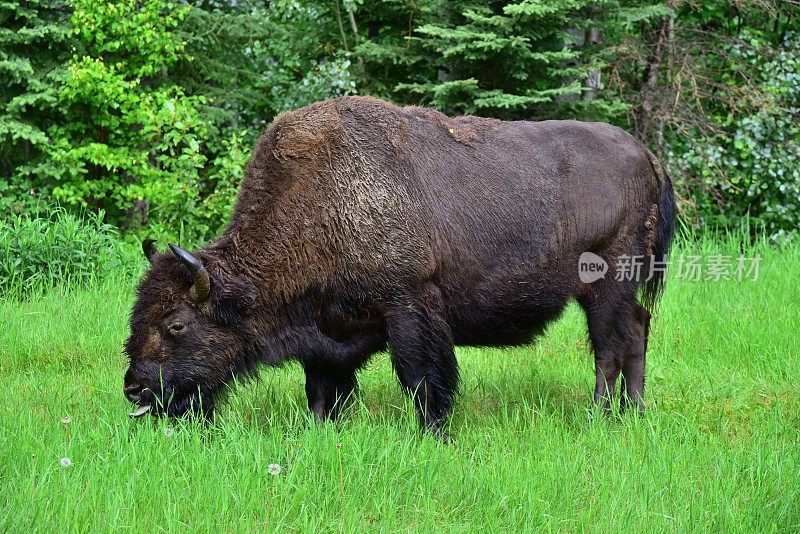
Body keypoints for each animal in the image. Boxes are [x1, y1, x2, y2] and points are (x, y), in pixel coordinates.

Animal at [125, 96, 676, 440]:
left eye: (176, 324)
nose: (135, 388)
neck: (320, 202)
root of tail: (646, 155)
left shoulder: (409, 305)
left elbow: (422, 377)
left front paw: (434, 435)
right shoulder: (329, 330)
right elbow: (321, 387)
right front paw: (319, 429)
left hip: (607, 282)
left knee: (609, 346)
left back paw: (600, 416)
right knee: (636, 330)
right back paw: (635, 412)